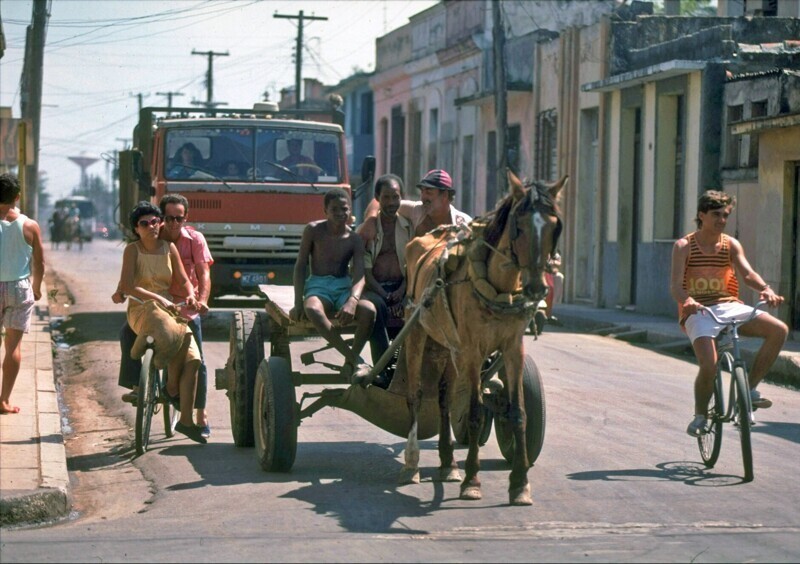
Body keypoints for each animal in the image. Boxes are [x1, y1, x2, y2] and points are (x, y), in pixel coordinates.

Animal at [398, 169, 564, 506]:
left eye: (556, 226)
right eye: (518, 225)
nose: (537, 288)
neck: (498, 288)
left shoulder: (513, 349)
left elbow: (519, 413)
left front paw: (520, 483)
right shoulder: (473, 352)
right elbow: (474, 412)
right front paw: (472, 482)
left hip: (448, 346)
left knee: (445, 397)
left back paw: (448, 464)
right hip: (418, 331)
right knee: (417, 394)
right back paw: (412, 464)